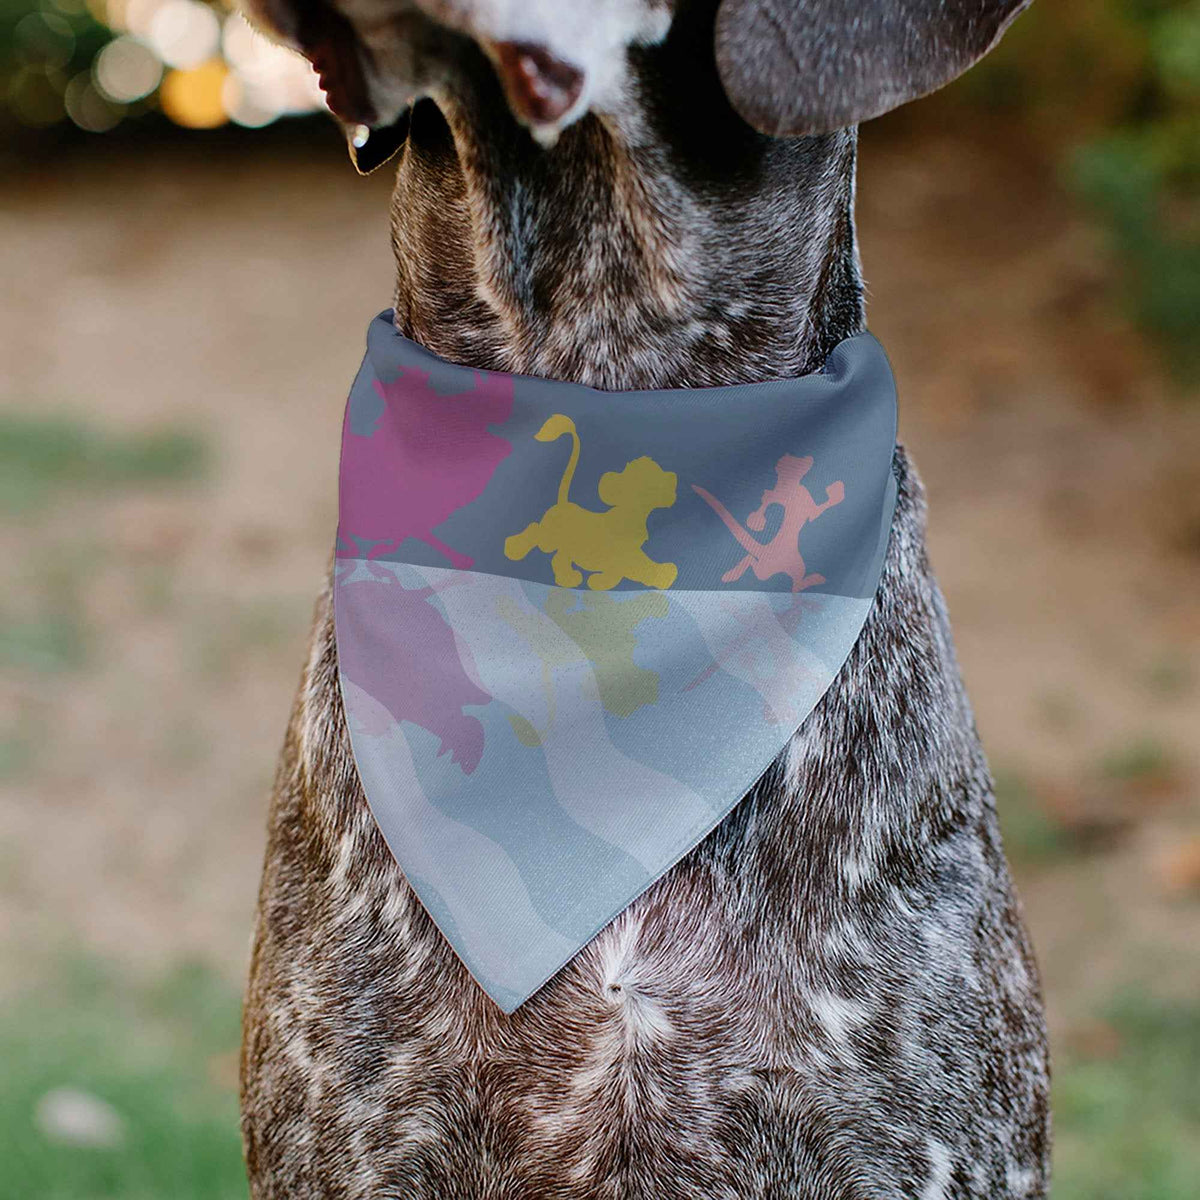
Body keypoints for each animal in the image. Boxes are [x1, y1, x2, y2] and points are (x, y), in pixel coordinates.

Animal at [504, 414, 678, 590]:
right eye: (651, 477)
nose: (673, 478)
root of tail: (562, 502)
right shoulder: (626, 554)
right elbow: (638, 567)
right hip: (548, 539)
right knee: (535, 530)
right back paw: (513, 548)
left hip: (566, 545)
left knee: (558, 559)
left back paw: (568, 578)